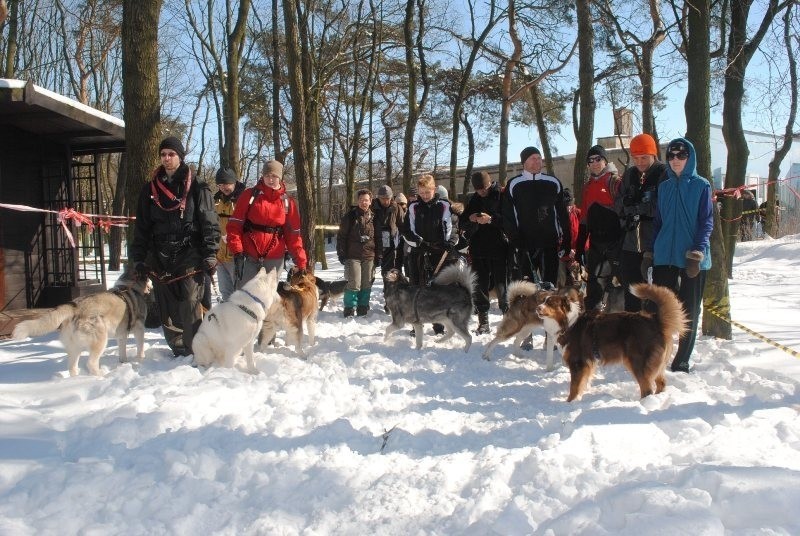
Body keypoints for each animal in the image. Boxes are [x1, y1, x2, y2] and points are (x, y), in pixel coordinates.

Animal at [12, 266, 153, 376]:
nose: (152, 283)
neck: (131, 287)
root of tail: (75, 306)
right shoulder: (139, 330)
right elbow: (140, 348)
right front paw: (140, 360)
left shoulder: (122, 335)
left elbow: (122, 352)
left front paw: (124, 363)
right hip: (100, 341)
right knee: (91, 363)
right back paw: (101, 377)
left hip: (75, 347)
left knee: (72, 367)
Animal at [548, 282, 692, 400]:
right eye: (547, 300)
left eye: (551, 303)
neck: (570, 320)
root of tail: (655, 320)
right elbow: (582, 384)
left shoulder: (578, 363)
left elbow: (574, 387)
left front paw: (570, 403)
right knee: (661, 384)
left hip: (637, 362)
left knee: (647, 390)